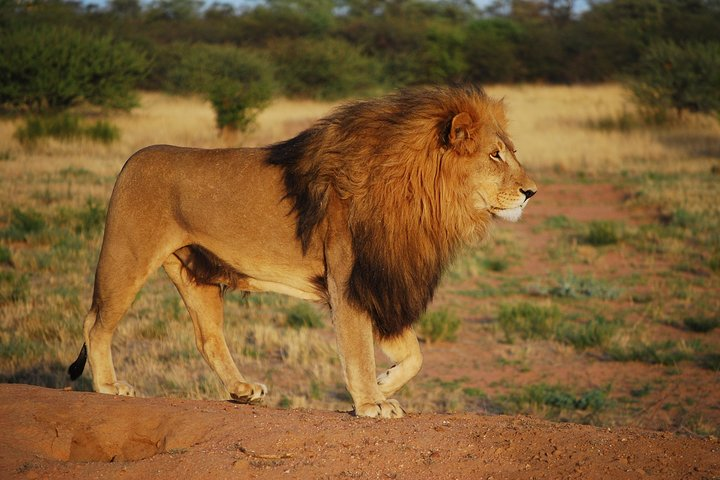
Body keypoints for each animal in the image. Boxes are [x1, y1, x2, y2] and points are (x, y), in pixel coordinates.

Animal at [68, 85, 537, 418]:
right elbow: (358, 348)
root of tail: (131, 159)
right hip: (126, 257)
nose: (532, 192)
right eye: (495, 156)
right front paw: (370, 402)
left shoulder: (380, 282)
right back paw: (109, 386)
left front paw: (383, 384)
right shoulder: (350, 280)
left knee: (208, 338)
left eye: (511, 153)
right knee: (95, 323)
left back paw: (242, 391)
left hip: (195, 273)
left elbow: (415, 354)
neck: (422, 197)